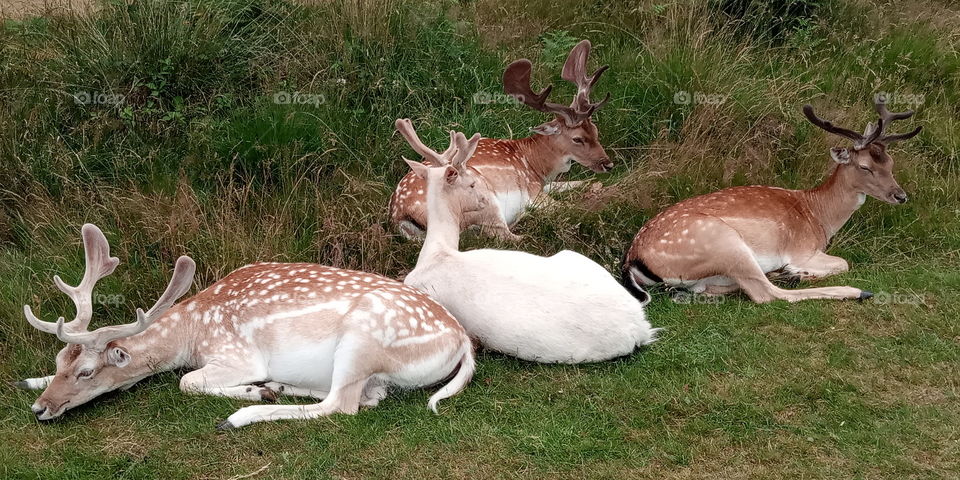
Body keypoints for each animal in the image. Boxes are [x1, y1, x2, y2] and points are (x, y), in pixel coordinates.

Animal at [17, 224, 475, 429]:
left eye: (87, 372)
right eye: (58, 362)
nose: (41, 408)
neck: (192, 333)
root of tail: (464, 344)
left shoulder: (235, 354)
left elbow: (187, 382)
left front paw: (251, 390)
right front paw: (27, 380)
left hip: (363, 337)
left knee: (342, 405)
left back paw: (242, 412)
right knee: (368, 397)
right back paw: (275, 388)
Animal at [389, 39, 611, 241]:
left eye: (596, 130)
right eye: (577, 139)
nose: (608, 164)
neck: (536, 165)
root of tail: (400, 215)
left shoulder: (544, 184)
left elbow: (578, 182)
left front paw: (596, 185)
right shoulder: (533, 192)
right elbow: (568, 206)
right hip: (483, 200)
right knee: (507, 236)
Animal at [622, 100, 922, 303]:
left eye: (890, 163)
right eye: (865, 167)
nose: (901, 196)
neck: (819, 217)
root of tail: (632, 258)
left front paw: (796, 272)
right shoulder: (801, 249)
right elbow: (843, 263)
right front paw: (798, 270)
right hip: (725, 244)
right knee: (767, 294)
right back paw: (854, 290)